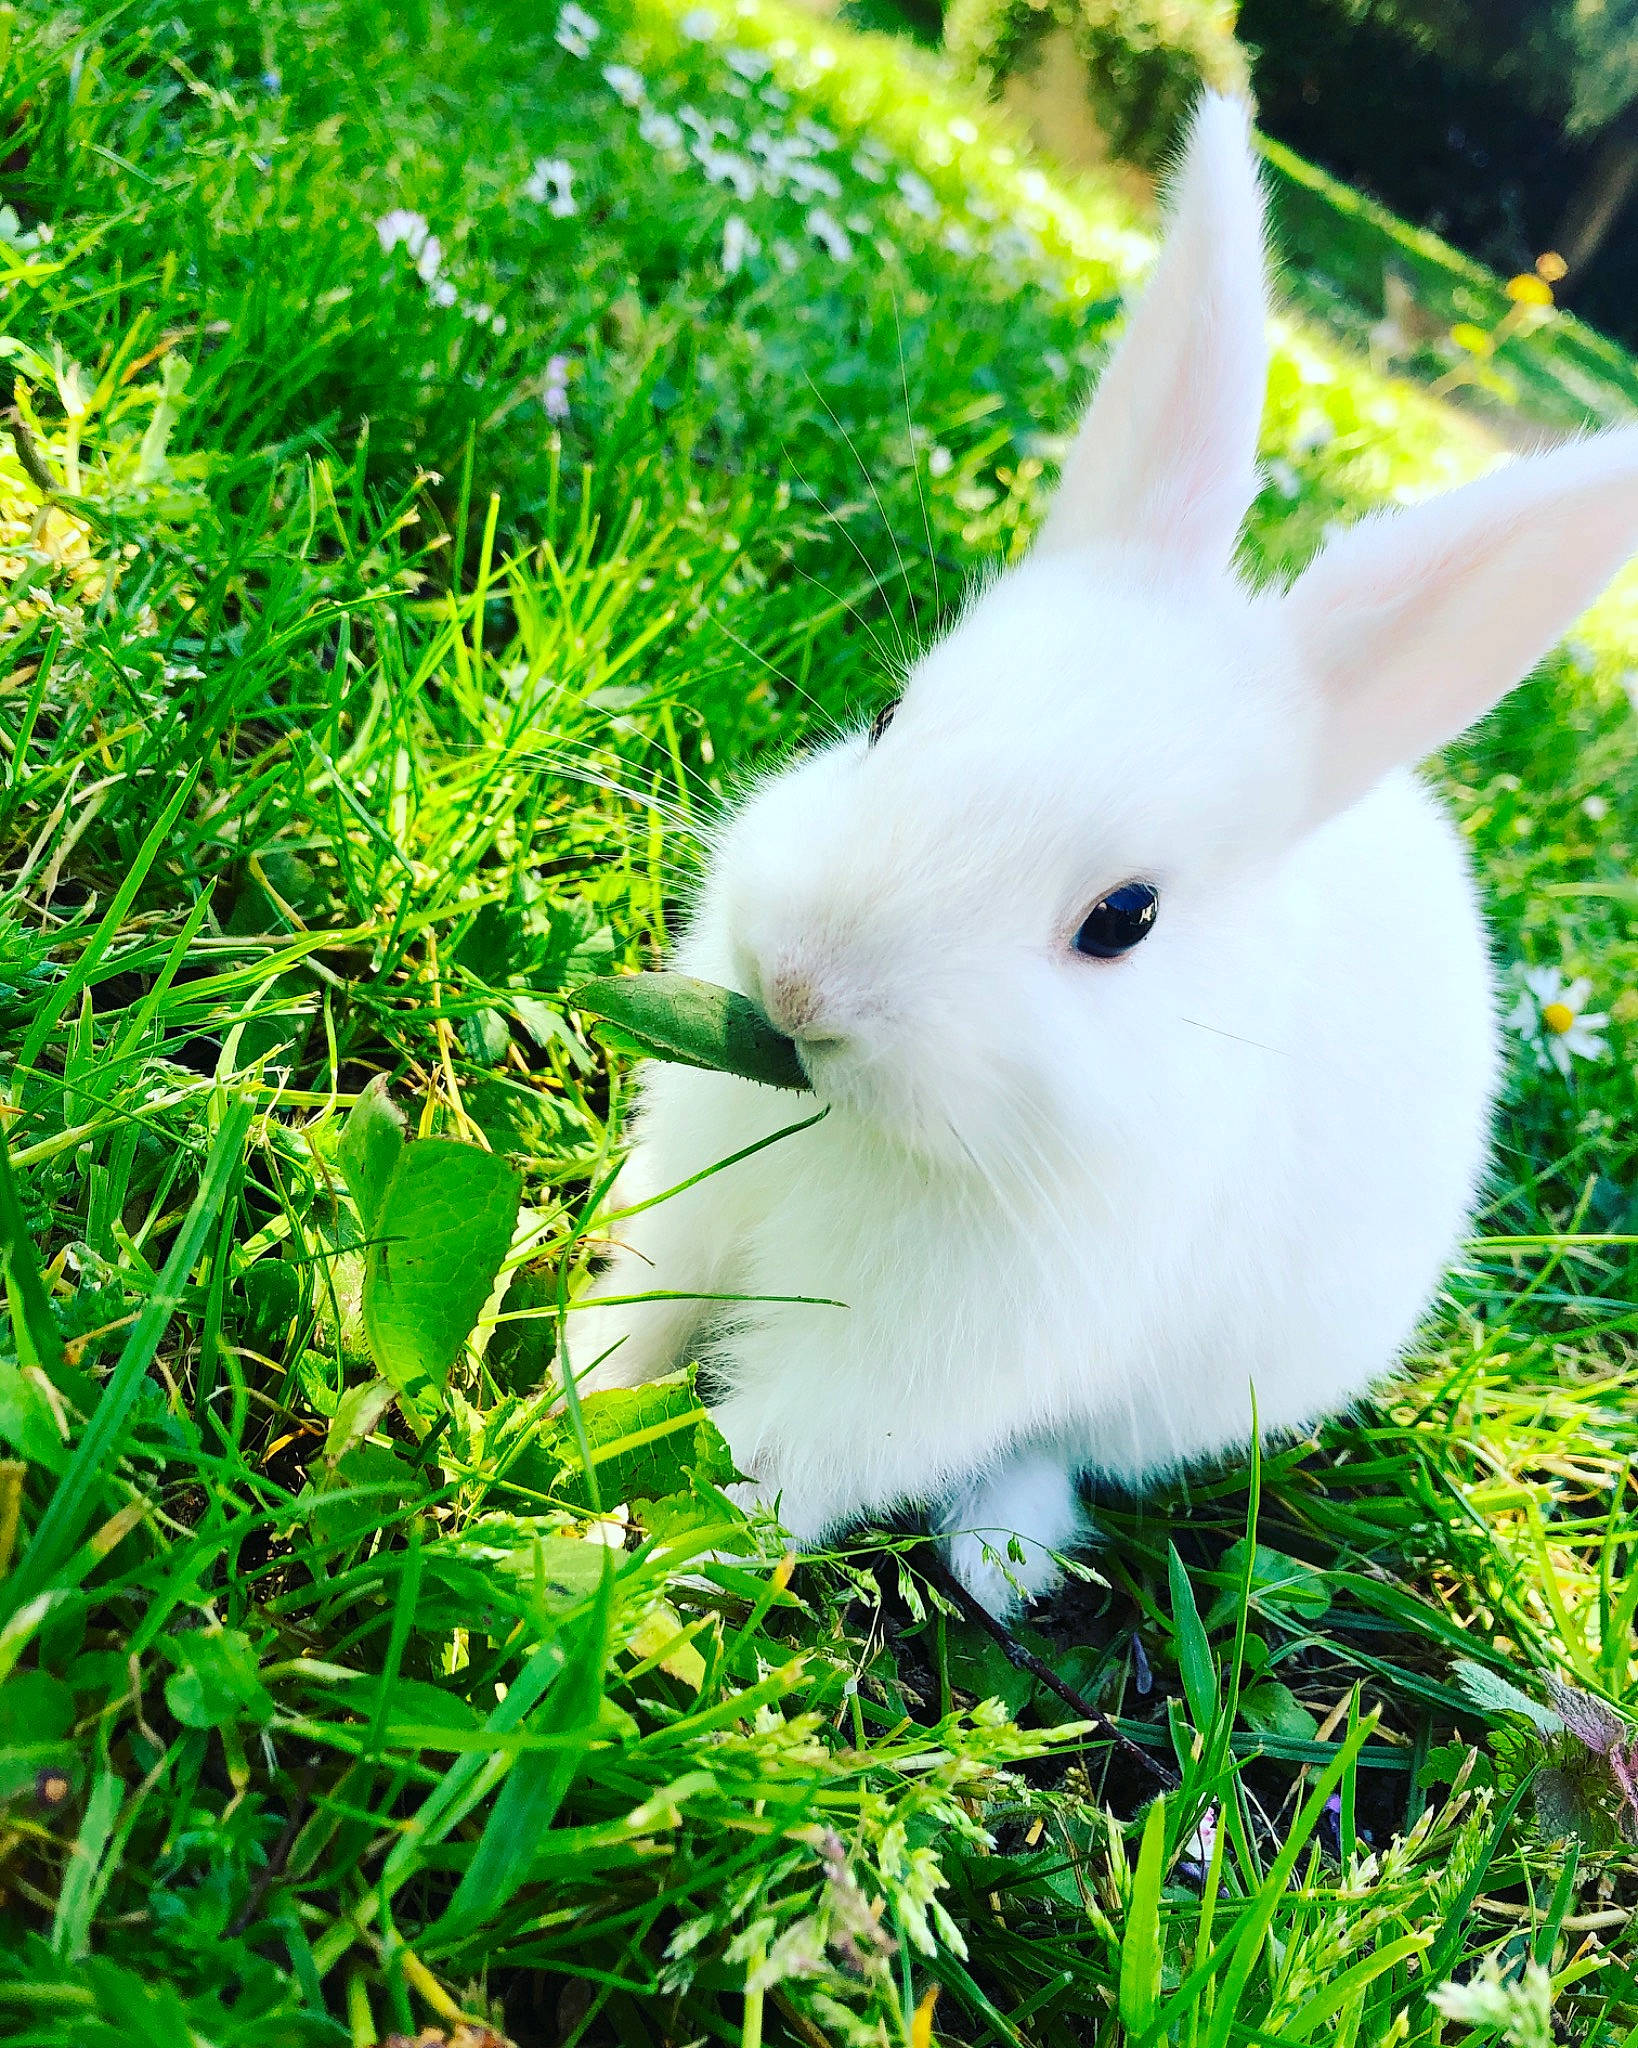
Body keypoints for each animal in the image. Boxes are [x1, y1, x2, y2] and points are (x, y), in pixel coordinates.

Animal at [568, 92, 1638, 1616]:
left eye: (1123, 919)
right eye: (888, 717)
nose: (800, 988)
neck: (870, 1133)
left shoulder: (906, 1368)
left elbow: (775, 1462)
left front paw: (637, 1562)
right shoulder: (697, 1200)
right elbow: (643, 1313)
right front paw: (569, 1390)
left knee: (1063, 1454)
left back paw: (1003, 1556)